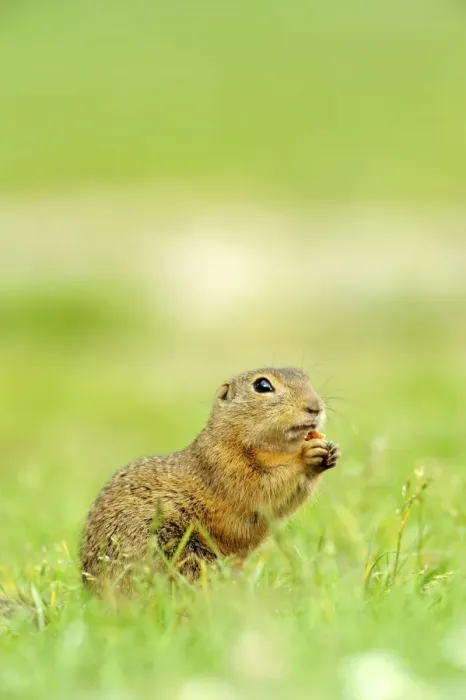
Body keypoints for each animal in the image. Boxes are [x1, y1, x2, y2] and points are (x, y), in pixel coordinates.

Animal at [80, 367, 340, 593]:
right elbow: (263, 486)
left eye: (305, 377)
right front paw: (306, 455)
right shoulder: (226, 464)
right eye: (262, 385)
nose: (315, 407)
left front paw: (331, 452)